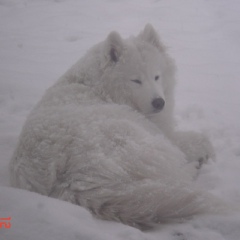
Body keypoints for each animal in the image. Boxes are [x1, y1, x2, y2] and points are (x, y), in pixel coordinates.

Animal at [10, 24, 226, 231]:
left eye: (156, 76)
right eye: (136, 80)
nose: (159, 103)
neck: (99, 87)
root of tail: (71, 181)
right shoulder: (165, 135)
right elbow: (200, 140)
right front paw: (205, 152)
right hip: (140, 141)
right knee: (178, 177)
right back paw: (193, 167)